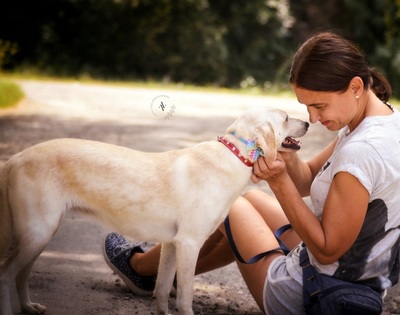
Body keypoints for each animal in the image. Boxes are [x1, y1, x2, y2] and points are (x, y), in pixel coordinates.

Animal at [0, 107, 310, 314]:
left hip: (39, 236)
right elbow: (183, 298)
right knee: (6, 273)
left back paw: (28, 306)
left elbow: (161, 290)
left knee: (20, 275)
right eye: (285, 118)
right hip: (38, 234)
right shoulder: (189, 244)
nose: (308, 122)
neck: (234, 155)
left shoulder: (172, 245)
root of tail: (15, 158)